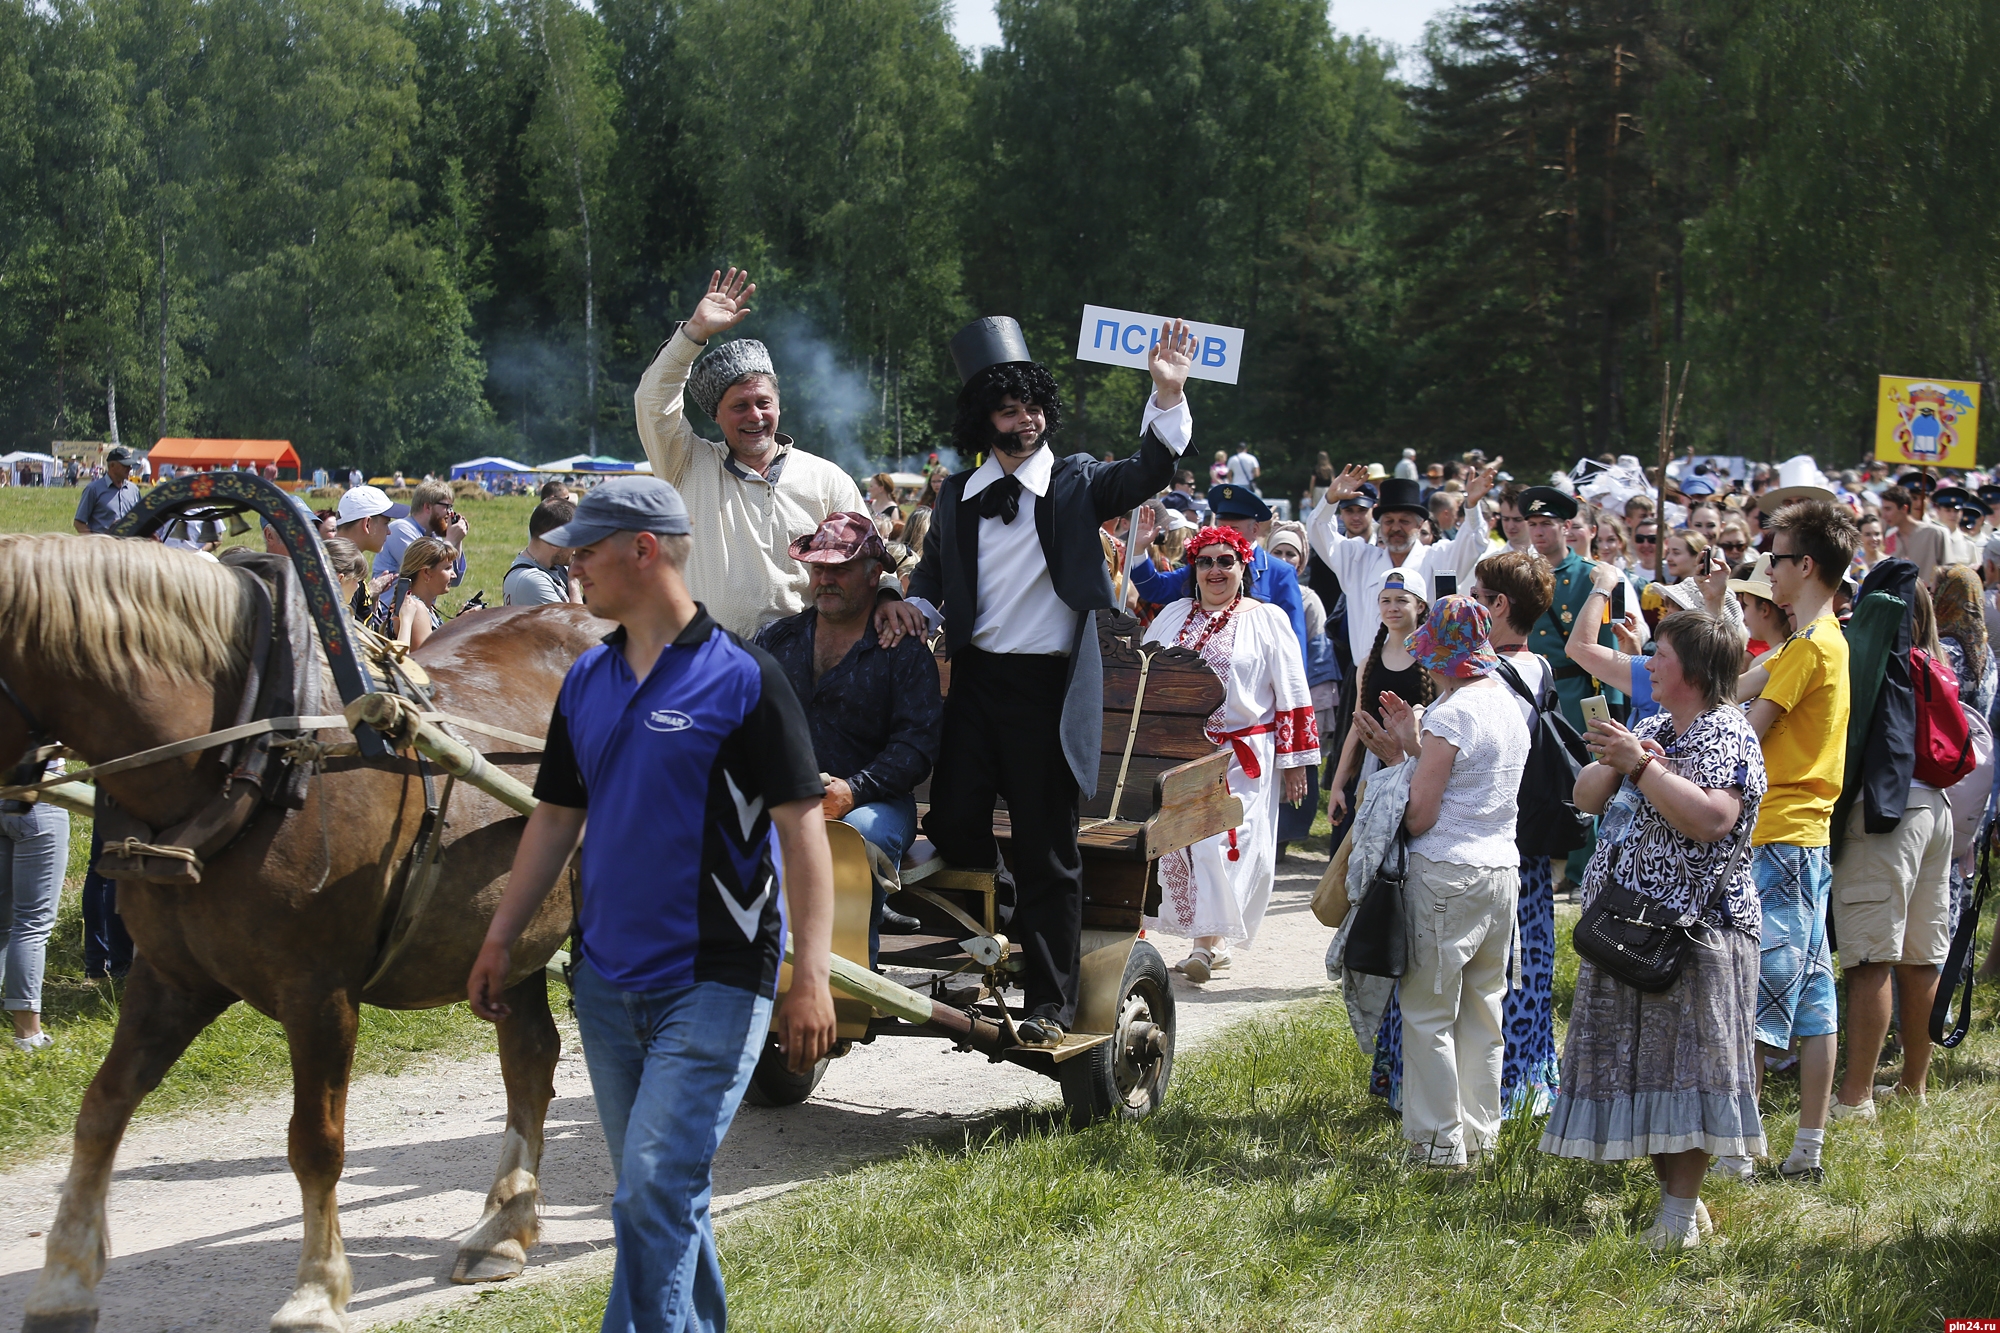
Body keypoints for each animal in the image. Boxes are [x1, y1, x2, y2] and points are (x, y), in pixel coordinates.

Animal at [5, 536, 600, 1328]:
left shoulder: (318, 991)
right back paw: (502, 1227)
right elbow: (102, 1109)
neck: (252, 756)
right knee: (530, 1059)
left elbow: (315, 1142)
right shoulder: (169, 978)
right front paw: (64, 1282)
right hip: (515, 935)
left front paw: (316, 1290)